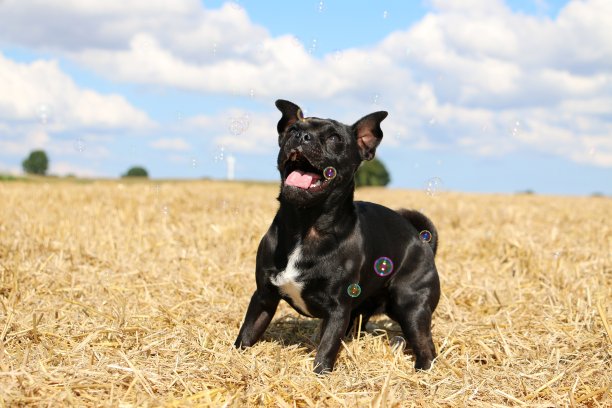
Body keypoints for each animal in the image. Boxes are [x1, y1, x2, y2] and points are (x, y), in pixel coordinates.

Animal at [234, 99, 440, 372]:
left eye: (335, 138)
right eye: (292, 130)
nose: (302, 136)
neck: (306, 226)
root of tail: (423, 242)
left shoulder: (337, 309)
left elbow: (326, 349)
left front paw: (319, 373)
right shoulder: (263, 297)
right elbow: (247, 333)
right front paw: (233, 356)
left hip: (412, 308)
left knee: (425, 346)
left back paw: (422, 371)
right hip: (362, 311)